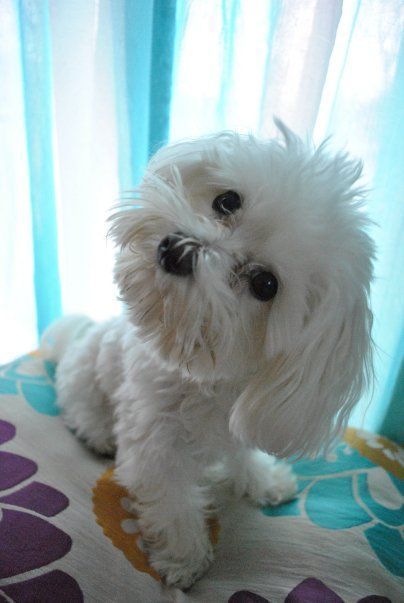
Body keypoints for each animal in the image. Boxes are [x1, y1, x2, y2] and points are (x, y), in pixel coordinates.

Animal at [42, 122, 374, 588]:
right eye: (227, 201)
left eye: (265, 285)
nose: (180, 249)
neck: (204, 378)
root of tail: (79, 334)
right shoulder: (156, 442)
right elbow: (174, 501)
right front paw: (184, 556)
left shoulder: (242, 422)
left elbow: (243, 453)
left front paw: (264, 481)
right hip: (85, 375)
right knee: (78, 404)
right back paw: (97, 431)